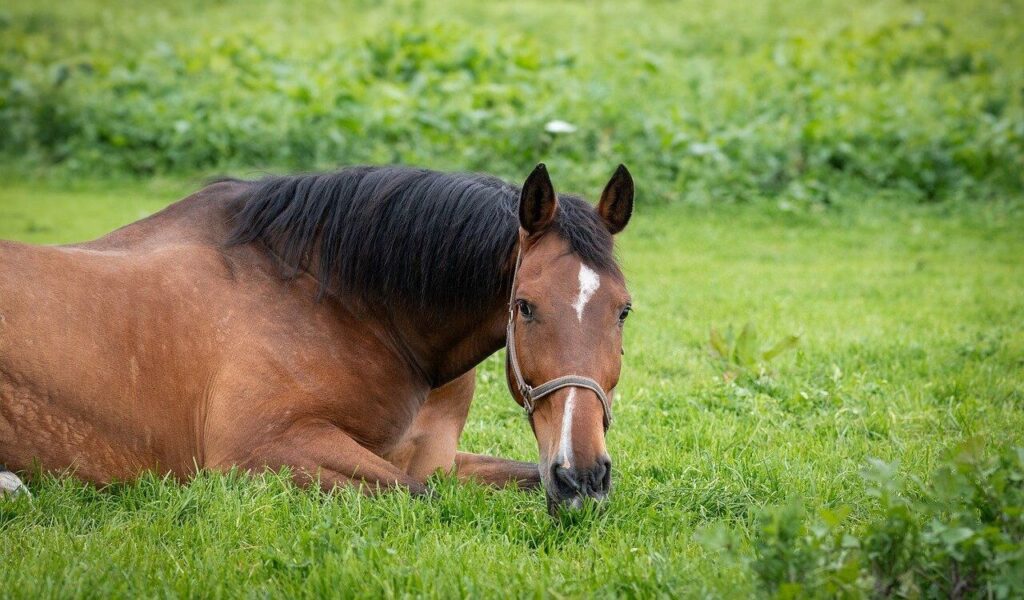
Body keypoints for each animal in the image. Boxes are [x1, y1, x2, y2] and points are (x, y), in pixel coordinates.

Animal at [0, 163, 634, 512]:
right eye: (524, 307)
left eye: (623, 311)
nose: (582, 477)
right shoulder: (262, 452)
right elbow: (420, 495)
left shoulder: (438, 459)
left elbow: (505, 477)